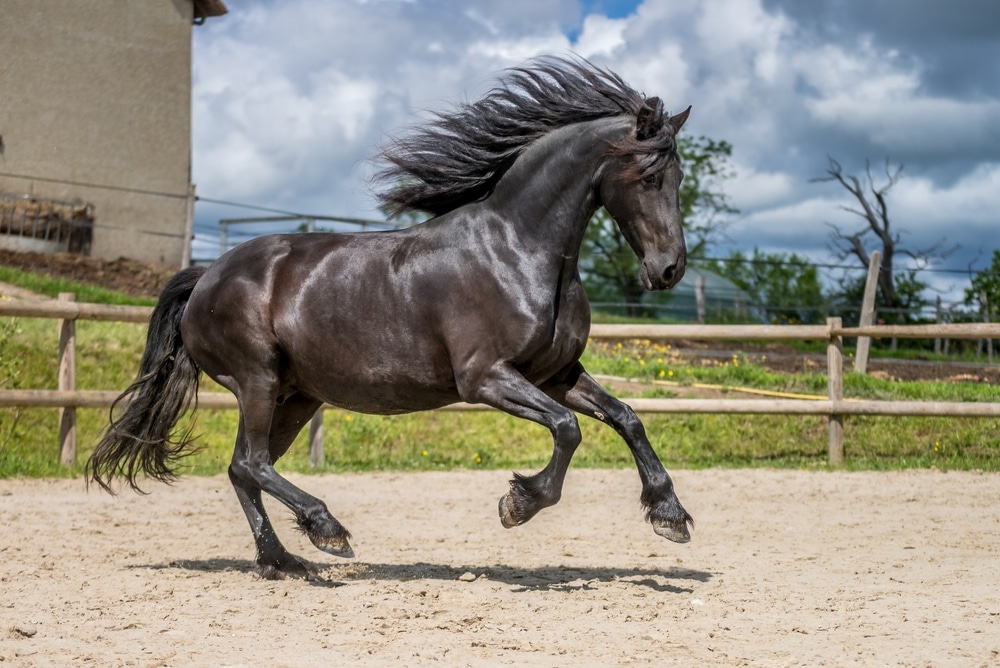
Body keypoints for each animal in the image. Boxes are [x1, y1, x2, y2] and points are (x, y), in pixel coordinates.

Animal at [90, 58, 692, 580]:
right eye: (648, 176)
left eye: (679, 176)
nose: (669, 270)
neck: (518, 250)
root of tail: (206, 277)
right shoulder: (485, 378)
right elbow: (568, 429)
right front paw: (518, 503)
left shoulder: (556, 375)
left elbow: (627, 418)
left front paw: (670, 515)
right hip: (257, 379)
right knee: (252, 464)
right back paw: (327, 530)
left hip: (296, 395)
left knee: (243, 468)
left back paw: (283, 561)